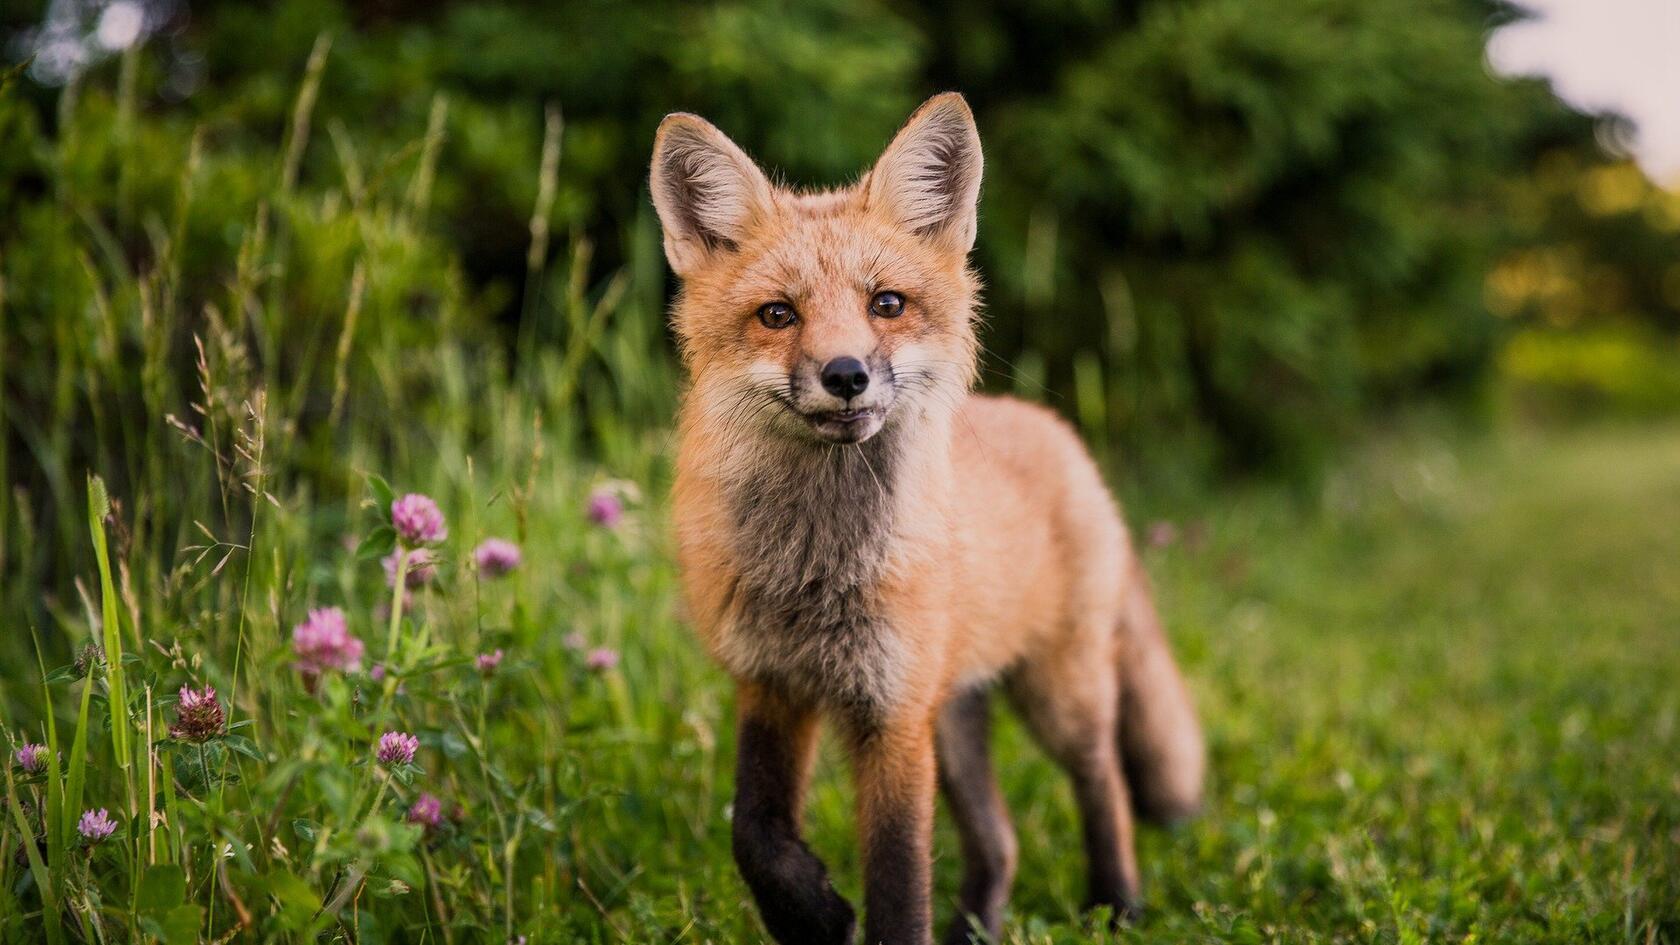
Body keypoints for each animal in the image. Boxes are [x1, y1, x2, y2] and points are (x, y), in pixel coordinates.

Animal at [645, 89, 1209, 941]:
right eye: (777, 314)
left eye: (887, 304)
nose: (845, 373)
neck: (817, 571)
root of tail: (1057, 431)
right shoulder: (772, 682)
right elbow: (755, 830)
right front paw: (811, 913)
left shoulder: (893, 713)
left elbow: (898, 878)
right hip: (956, 715)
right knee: (1002, 838)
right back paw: (979, 924)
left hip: (1058, 693)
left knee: (1104, 779)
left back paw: (1117, 902)